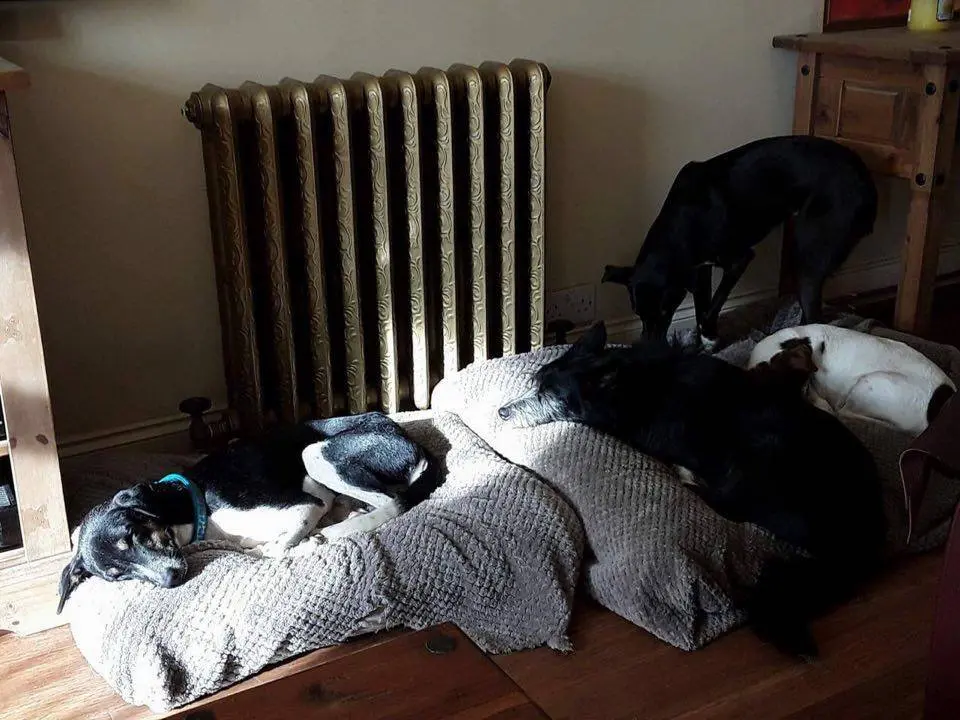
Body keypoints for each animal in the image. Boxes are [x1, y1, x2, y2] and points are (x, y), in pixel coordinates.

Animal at [58, 412, 438, 613]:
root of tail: (412, 442)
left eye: (135, 536)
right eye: (117, 576)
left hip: (317, 453)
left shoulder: (309, 502)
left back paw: (332, 532)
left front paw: (290, 545)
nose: (170, 581)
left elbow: (279, 544)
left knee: (390, 502)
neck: (195, 503)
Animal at [497, 322, 887, 659]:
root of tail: (858, 541)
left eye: (552, 395)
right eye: (536, 383)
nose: (501, 412)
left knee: (731, 506)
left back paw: (687, 476)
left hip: (761, 455)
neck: (635, 385)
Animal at [602, 136, 878, 344]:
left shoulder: (739, 259)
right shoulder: (701, 269)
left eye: (664, 310)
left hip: (809, 254)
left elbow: (713, 305)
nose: (648, 349)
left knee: (814, 316)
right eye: (637, 313)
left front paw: (709, 336)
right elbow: (703, 305)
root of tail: (866, 179)